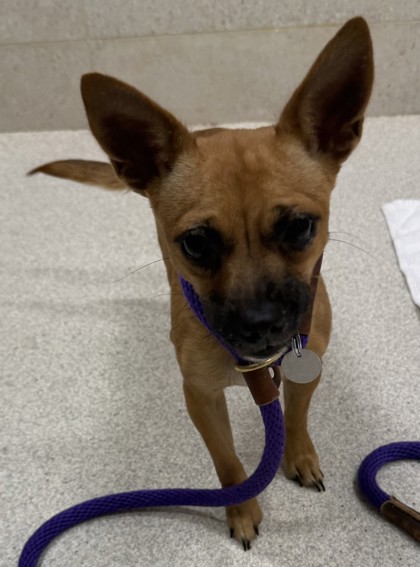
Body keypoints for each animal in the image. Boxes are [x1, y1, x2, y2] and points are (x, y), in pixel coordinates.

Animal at [31, 17, 374, 550]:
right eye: (195, 244)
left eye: (300, 227)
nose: (261, 325)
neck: (259, 368)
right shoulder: (201, 398)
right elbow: (230, 464)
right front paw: (241, 509)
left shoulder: (306, 371)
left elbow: (295, 417)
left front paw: (298, 455)